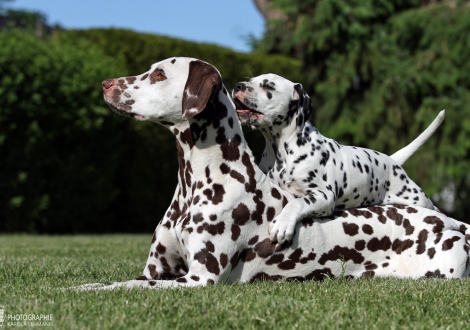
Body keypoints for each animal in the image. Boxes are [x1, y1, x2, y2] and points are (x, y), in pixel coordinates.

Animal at [233, 75, 442, 245]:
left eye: (268, 86)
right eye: (251, 80)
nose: (237, 85)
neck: (282, 150)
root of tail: (392, 161)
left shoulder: (323, 195)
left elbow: (297, 203)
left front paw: (283, 224)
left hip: (419, 199)